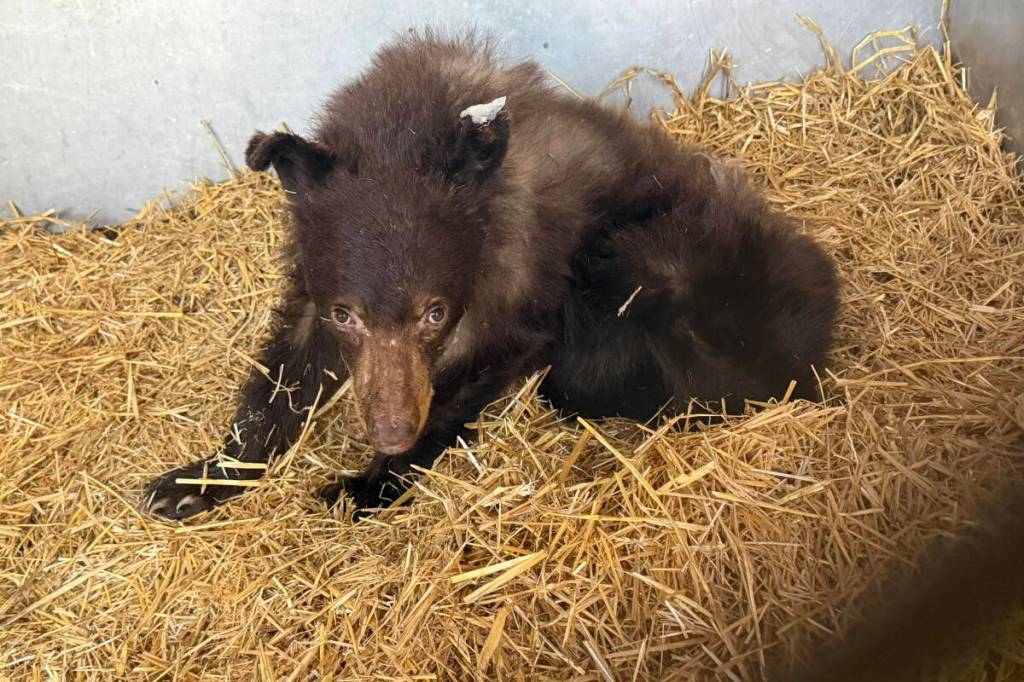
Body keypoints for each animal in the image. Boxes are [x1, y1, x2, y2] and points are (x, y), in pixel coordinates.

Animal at [142, 30, 838, 520]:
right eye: (347, 315)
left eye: (435, 313)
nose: (391, 432)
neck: (408, 127)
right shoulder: (317, 283)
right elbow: (285, 371)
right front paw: (195, 480)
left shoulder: (526, 280)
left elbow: (479, 368)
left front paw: (367, 484)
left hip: (659, 262)